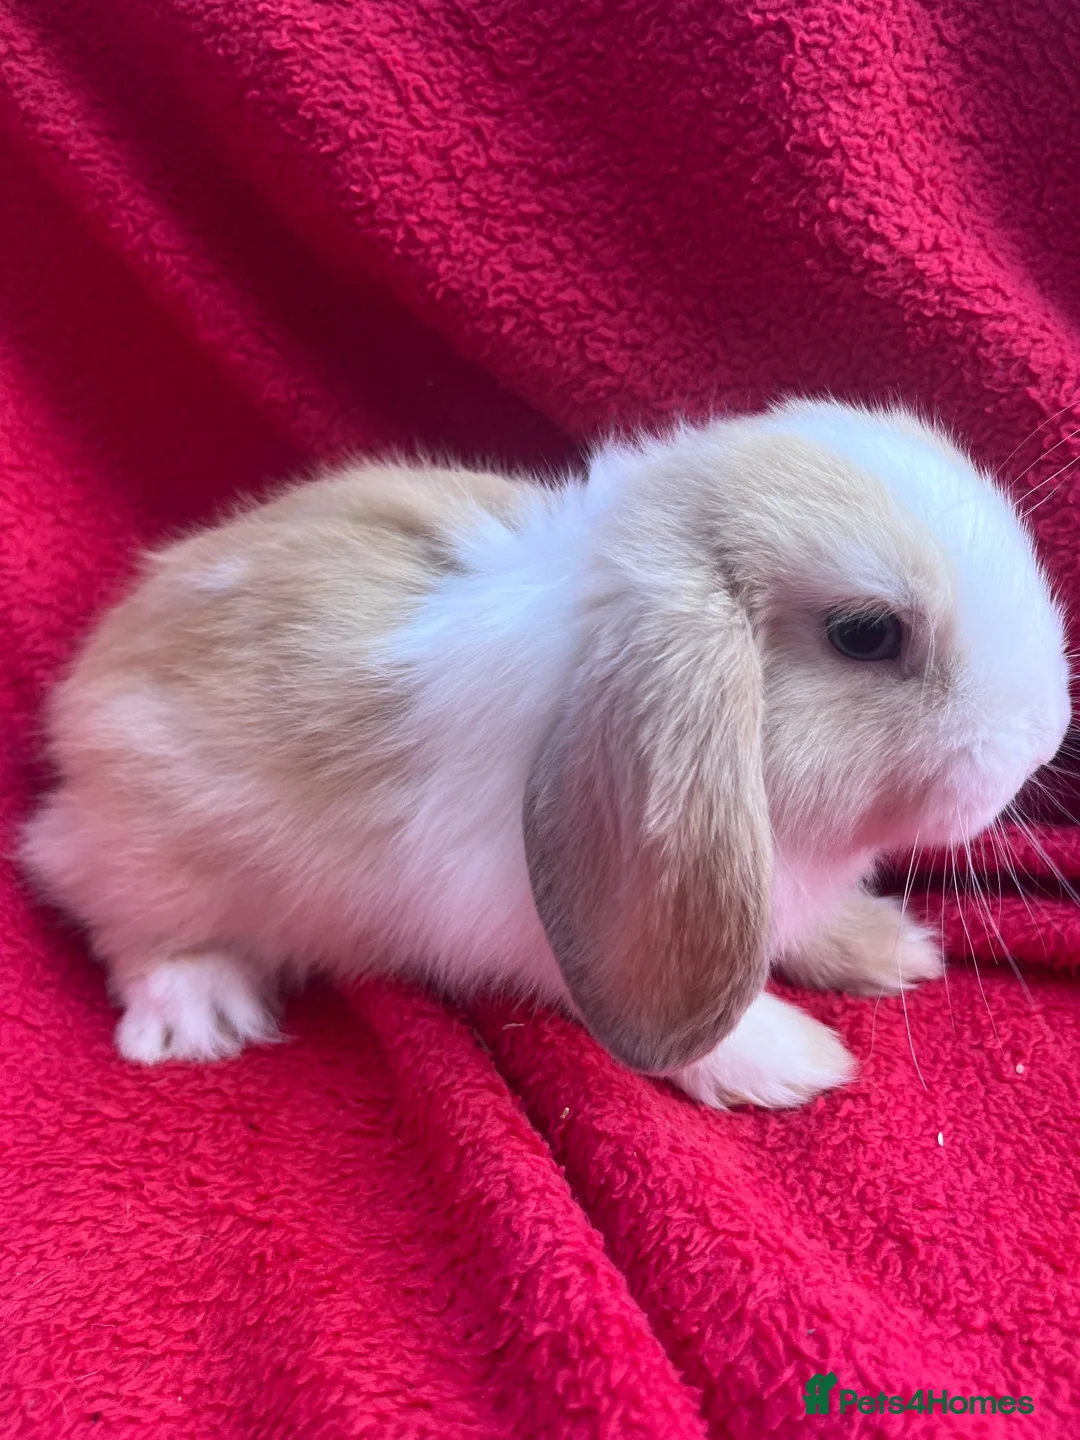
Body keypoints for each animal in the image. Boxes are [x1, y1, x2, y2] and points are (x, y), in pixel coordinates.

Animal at [20, 399, 1071, 1108]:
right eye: (866, 634)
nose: (1045, 732)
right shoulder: (546, 934)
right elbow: (698, 1023)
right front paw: (797, 1062)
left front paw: (889, 947)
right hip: (163, 853)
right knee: (114, 914)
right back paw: (201, 1012)